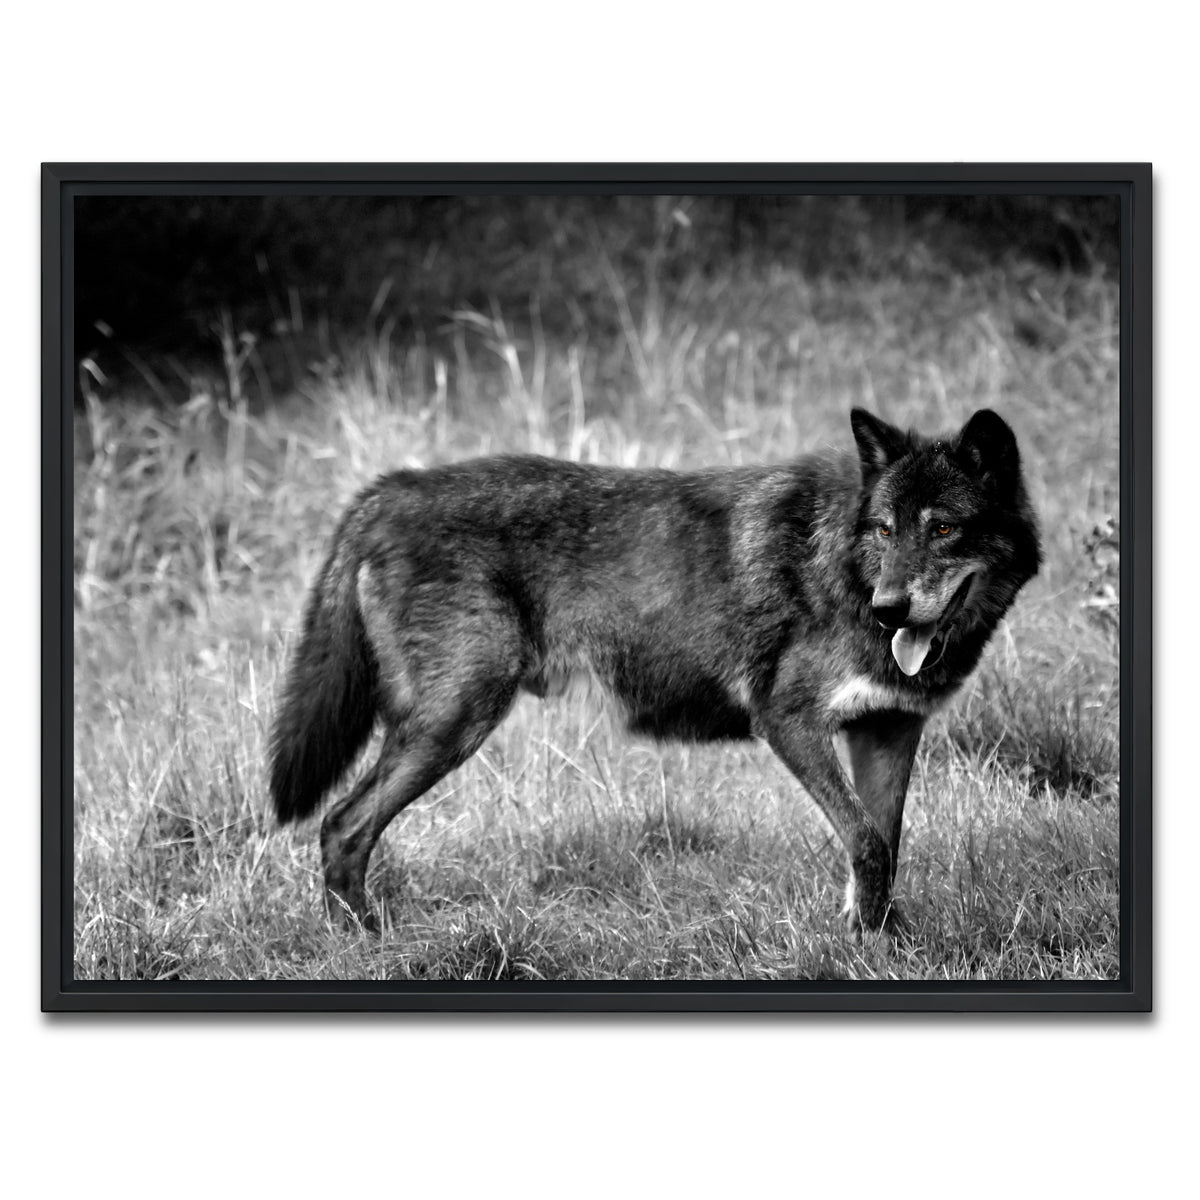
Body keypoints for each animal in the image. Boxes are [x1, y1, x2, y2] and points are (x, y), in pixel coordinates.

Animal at [269, 408, 1040, 937]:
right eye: (884, 528)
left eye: (943, 529)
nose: (889, 609)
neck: (845, 570)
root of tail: (389, 489)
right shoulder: (788, 721)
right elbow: (865, 841)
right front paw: (862, 945)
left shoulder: (887, 730)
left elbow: (883, 845)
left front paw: (877, 943)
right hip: (454, 723)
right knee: (341, 825)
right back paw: (364, 942)